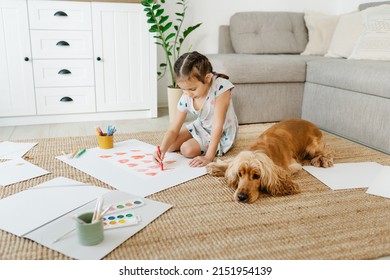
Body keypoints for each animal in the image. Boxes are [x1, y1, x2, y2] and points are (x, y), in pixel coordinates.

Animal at [206, 118, 334, 203]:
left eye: (256, 176)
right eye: (239, 174)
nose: (241, 197)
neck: (261, 149)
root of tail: (313, 124)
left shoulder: (291, 166)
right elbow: (230, 163)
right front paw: (217, 167)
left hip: (312, 147)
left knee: (327, 151)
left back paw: (322, 160)